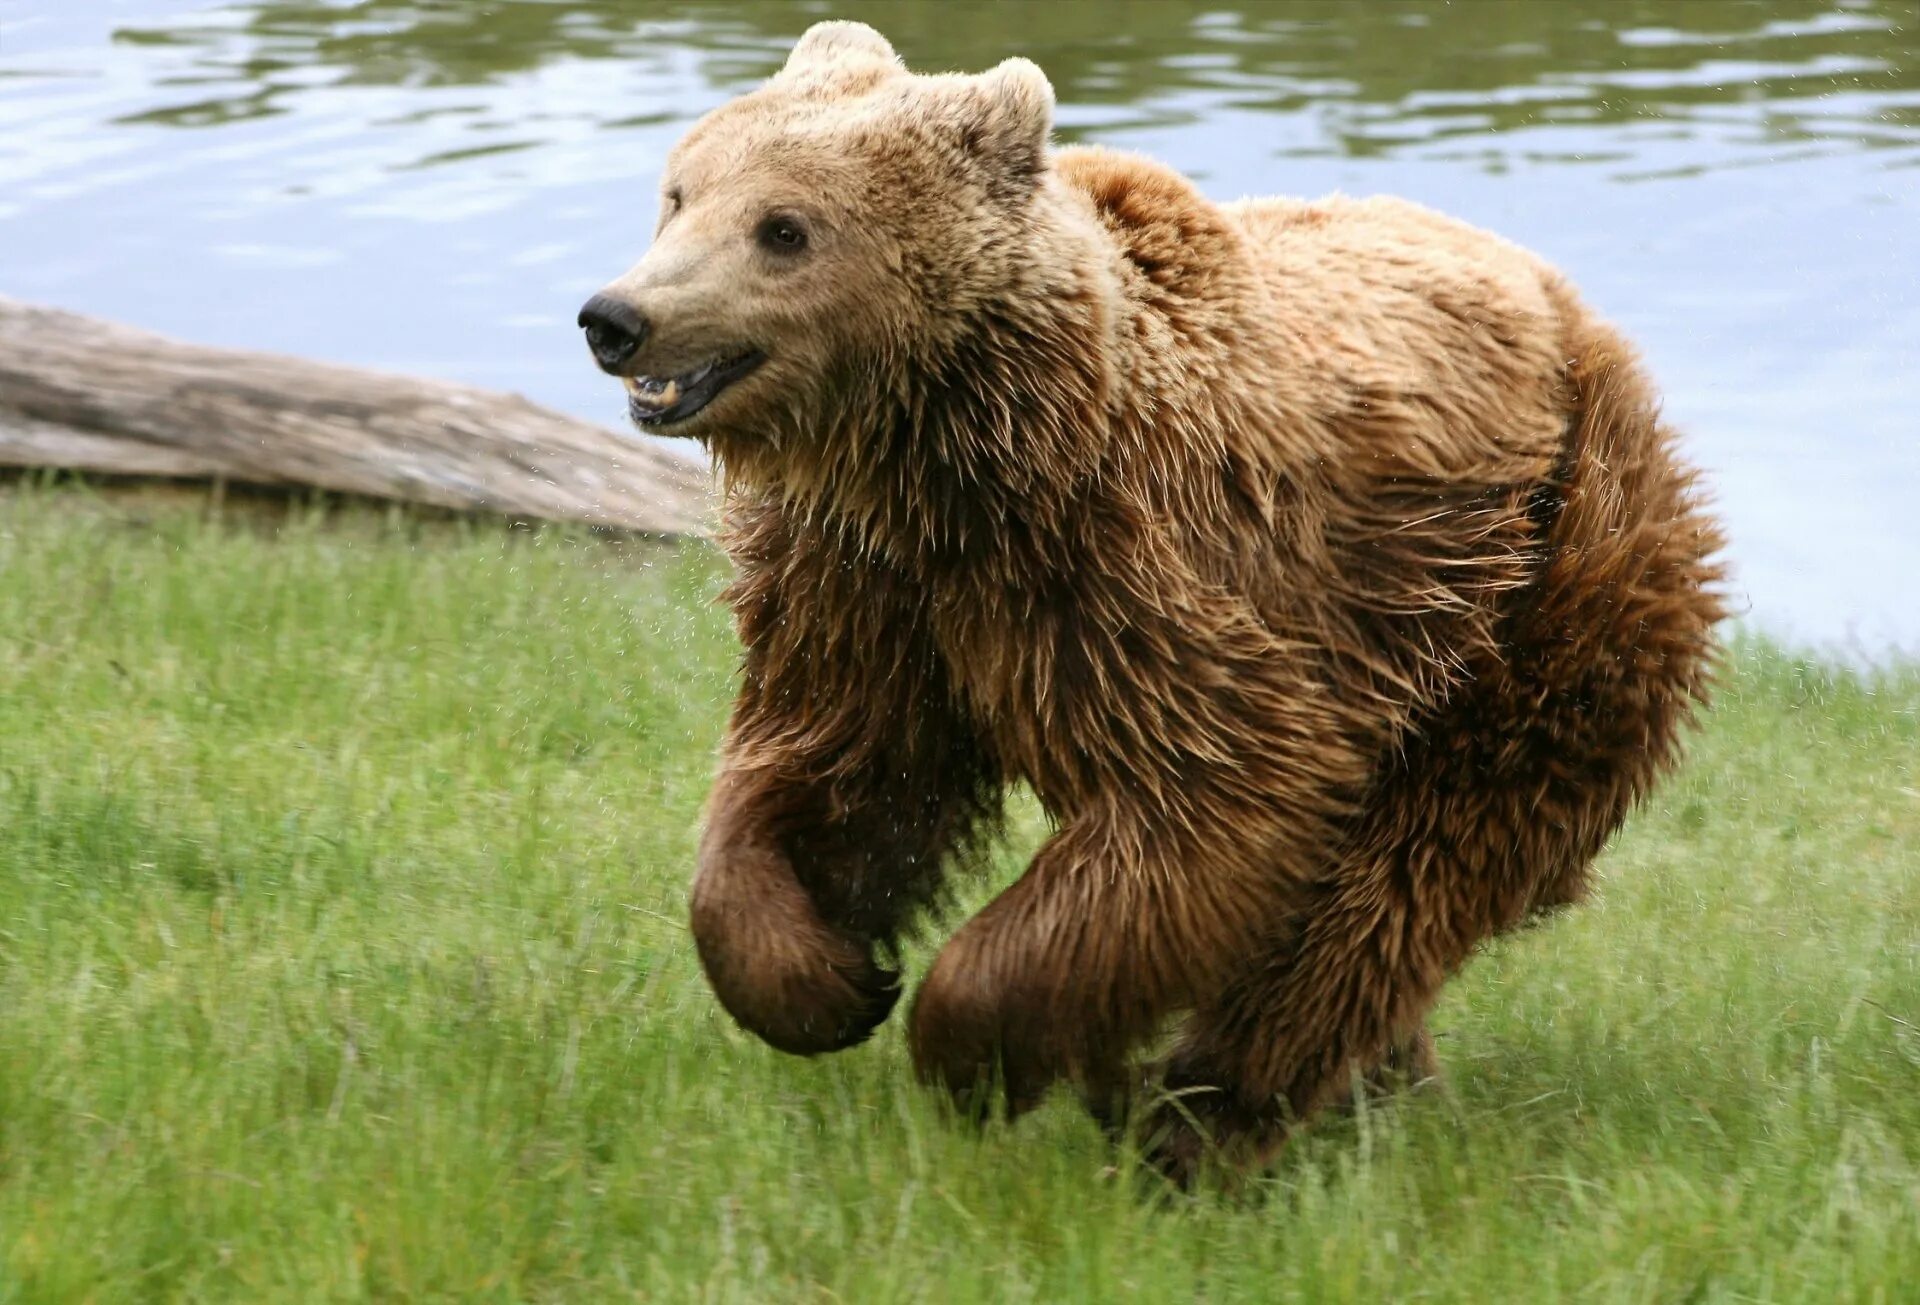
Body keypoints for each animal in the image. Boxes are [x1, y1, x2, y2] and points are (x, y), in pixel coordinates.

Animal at [579, 22, 1728, 1182]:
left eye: (784, 228)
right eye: (680, 193)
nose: (617, 317)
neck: (950, 456)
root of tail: (1573, 311)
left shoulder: (1140, 569)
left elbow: (1214, 800)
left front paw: (966, 1050)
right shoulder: (866, 588)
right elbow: (838, 769)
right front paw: (827, 980)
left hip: (1536, 583)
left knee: (1408, 874)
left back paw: (1200, 1117)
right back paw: (1366, 1090)